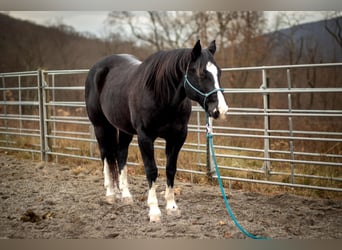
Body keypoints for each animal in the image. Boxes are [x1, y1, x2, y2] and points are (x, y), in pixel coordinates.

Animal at [85, 39, 228, 221]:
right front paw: (154, 211)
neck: (160, 94)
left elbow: (170, 169)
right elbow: (151, 171)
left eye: (219, 73)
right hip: (100, 126)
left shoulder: (177, 137)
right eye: (202, 73)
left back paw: (126, 196)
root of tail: (97, 68)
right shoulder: (145, 138)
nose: (221, 110)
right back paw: (110, 194)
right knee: (106, 156)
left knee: (120, 155)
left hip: (124, 130)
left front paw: (172, 207)